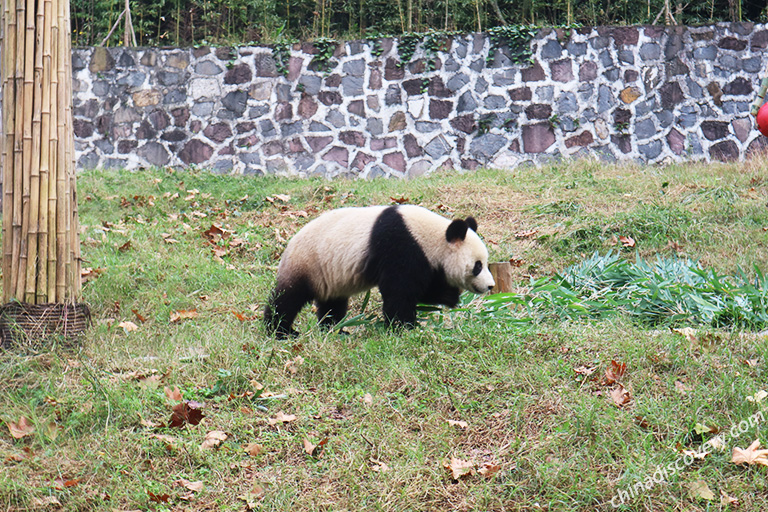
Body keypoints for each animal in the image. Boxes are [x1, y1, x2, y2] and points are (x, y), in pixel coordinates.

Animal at [262, 202, 492, 338]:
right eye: (478, 266)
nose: (490, 286)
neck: (432, 235)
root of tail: (289, 244)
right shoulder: (401, 245)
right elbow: (400, 291)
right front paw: (404, 327)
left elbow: (423, 288)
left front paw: (449, 295)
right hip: (308, 263)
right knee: (287, 298)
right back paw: (281, 331)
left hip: (330, 277)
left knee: (333, 305)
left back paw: (336, 329)